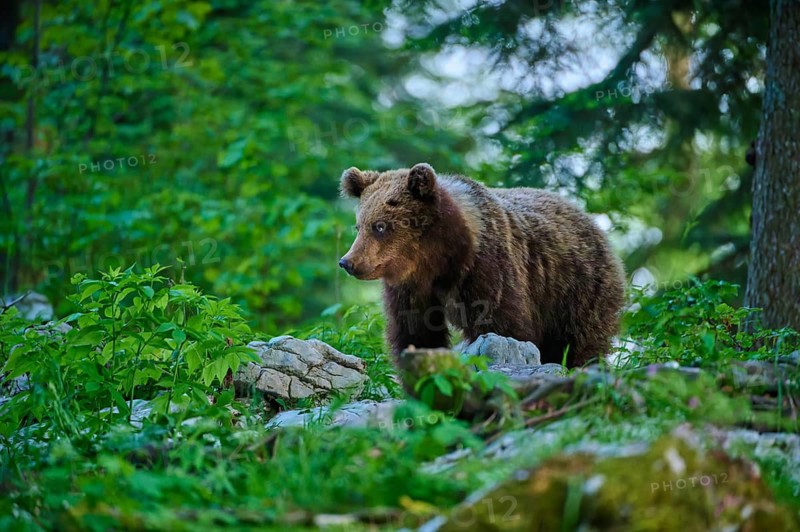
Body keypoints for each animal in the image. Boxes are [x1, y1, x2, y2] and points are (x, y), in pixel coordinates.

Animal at [338, 163, 626, 367]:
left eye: (380, 226)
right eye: (359, 225)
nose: (347, 262)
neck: (437, 260)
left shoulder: (485, 267)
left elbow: (503, 325)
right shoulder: (410, 287)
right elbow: (415, 332)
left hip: (576, 288)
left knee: (577, 340)